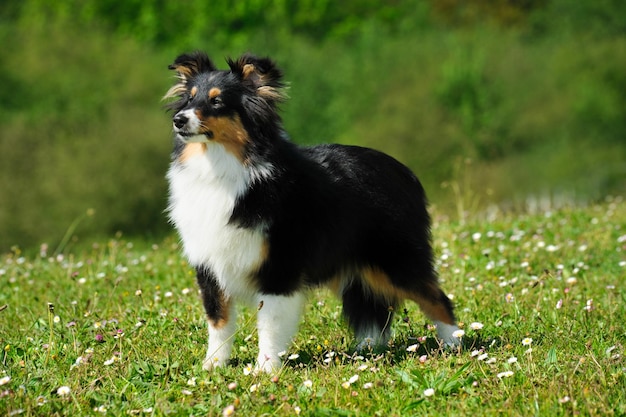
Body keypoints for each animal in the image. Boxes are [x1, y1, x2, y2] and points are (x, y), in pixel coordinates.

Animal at [163, 52, 460, 374]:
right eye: (190, 98)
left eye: (217, 101)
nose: (179, 120)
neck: (223, 165)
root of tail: (404, 172)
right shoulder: (210, 265)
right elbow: (219, 320)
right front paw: (213, 366)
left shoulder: (280, 266)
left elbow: (269, 323)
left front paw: (265, 370)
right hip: (361, 267)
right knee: (373, 308)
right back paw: (368, 351)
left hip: (396, 259)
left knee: (438, 298)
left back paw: (454, 345)